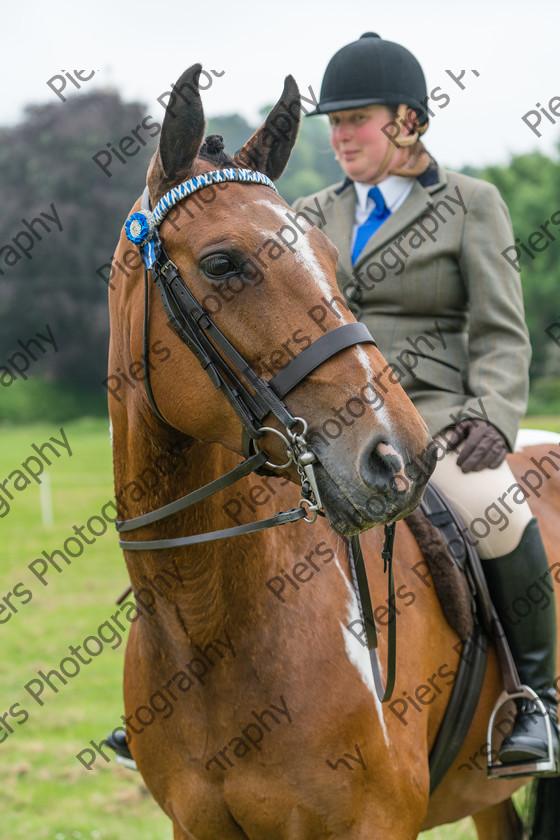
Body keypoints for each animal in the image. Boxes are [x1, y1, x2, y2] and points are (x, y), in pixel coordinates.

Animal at [108, 62, 560, 836]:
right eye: (222, 263)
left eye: (324, 255)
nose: (403, 459)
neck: (204, 616)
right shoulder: (193, 824)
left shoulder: (374, 822)